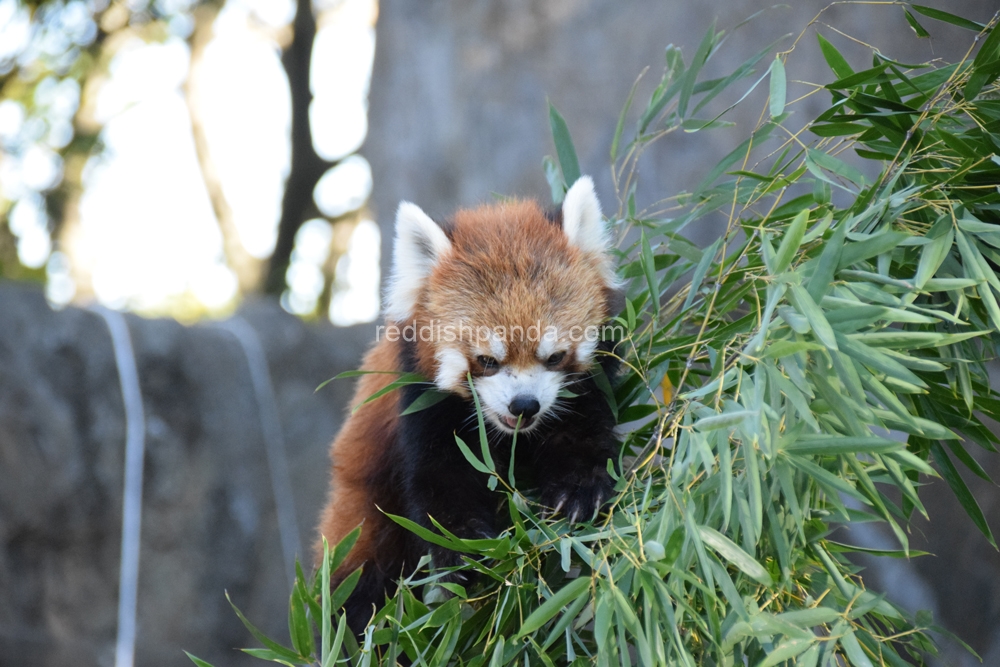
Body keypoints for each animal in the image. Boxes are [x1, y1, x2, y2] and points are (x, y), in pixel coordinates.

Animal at [316, 176, 620, 632]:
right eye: (487, 361)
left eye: (554, 357)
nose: (525, 405)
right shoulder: (420, 403)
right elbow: (440, 480)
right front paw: (464, 549)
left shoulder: (585, 387)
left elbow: (582, 432)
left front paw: (577, 490)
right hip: (362, 520)